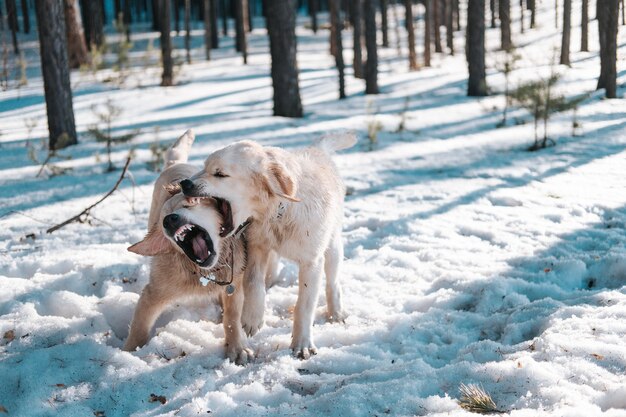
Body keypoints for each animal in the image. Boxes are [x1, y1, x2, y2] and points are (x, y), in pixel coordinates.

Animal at [123, 131, 252, 364]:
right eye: (162, 221)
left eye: (188, 204)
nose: (169, 221)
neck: (205, 272)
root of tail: (175, 164)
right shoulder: (153, 293)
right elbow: (139, 328)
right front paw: (128, 354)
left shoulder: (234, 285)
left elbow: (232, 319)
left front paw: (236, 347)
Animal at [179, 132, 356, 358]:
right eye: (204, 167)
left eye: (219, 174)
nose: (184, 183)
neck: (277, 214)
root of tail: (317, 150)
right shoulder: (256, 245)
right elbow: (253, 282)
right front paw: (252, 318)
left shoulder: (311, 261)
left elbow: (304, 305)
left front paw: (302, 344)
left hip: (332, 245)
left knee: (332, 281)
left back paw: (336, 313)